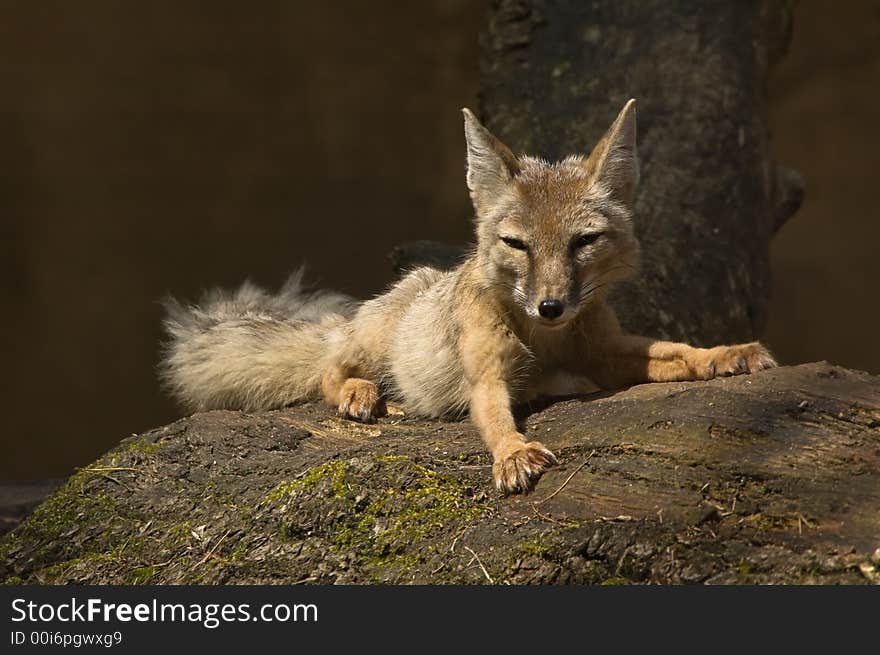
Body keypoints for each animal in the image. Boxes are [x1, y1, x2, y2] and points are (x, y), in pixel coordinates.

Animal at [160, 100, 776, 494]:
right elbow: (496, 417)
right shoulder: (487, 377)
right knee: (329, 369)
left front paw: (728, 354)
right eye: (516, 244)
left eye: (583, 241)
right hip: (371, 340)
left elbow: (677, 351)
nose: (550, 306)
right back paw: (359, 391)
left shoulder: (607, 351)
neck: (546, 341)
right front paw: (511, 453)